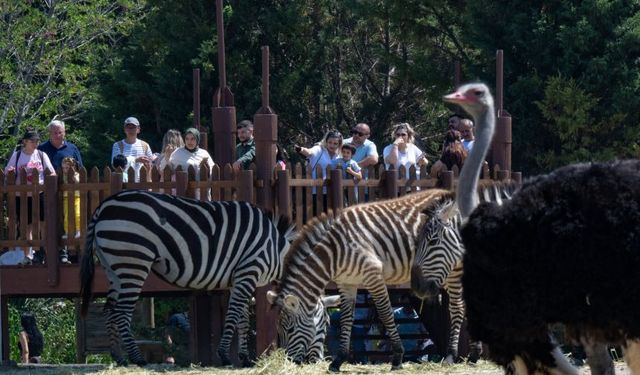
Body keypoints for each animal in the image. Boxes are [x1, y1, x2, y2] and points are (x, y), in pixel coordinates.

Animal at [79, 191, 330, 368]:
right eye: (325, 324)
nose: (315, 362)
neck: (275, 250)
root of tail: (103, 205)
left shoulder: (240, 279)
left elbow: (242, 319)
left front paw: (244, 358)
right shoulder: (248, 271)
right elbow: (233, 316)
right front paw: (225, 357)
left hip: (113, 267)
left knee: (111, 310)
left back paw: (118, 357)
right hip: (133, 261)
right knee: (122, 312)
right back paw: (137, 358)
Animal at [264, 191, 450, 374]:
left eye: (290, 330)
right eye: (279, 331)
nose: (288, 363)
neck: (334, 253)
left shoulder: (373, 275)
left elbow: (385, 313)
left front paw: (397, 357)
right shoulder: (347, 283)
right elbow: (346, 318)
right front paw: (338, 361)